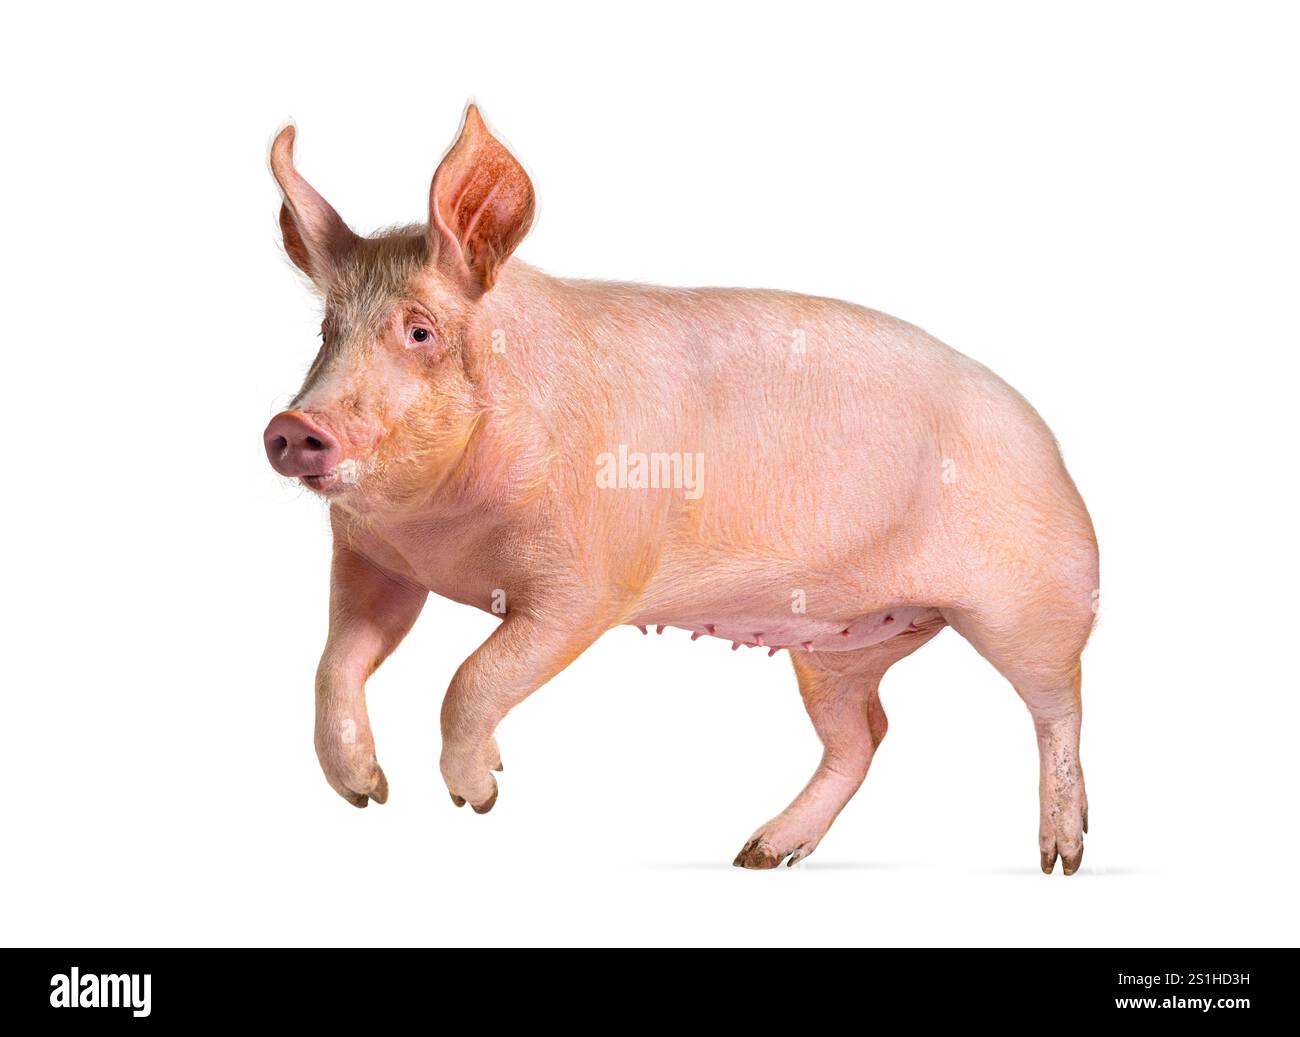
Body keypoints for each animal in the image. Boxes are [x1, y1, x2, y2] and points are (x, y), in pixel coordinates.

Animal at [263, 104, 1098, 874]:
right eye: (326, 333)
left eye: (420, 332)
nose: (292, 425)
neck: (442, 536)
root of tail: (1050, 444)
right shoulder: (374, 559)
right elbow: (336, 661)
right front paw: (365, 792)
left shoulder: (589, 582)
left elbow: (473, 677)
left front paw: (481, 795)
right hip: (838, 643)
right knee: (865, 733)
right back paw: (760, 853)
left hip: (1035, 599)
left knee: (1059, 702)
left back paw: (1060, 854)